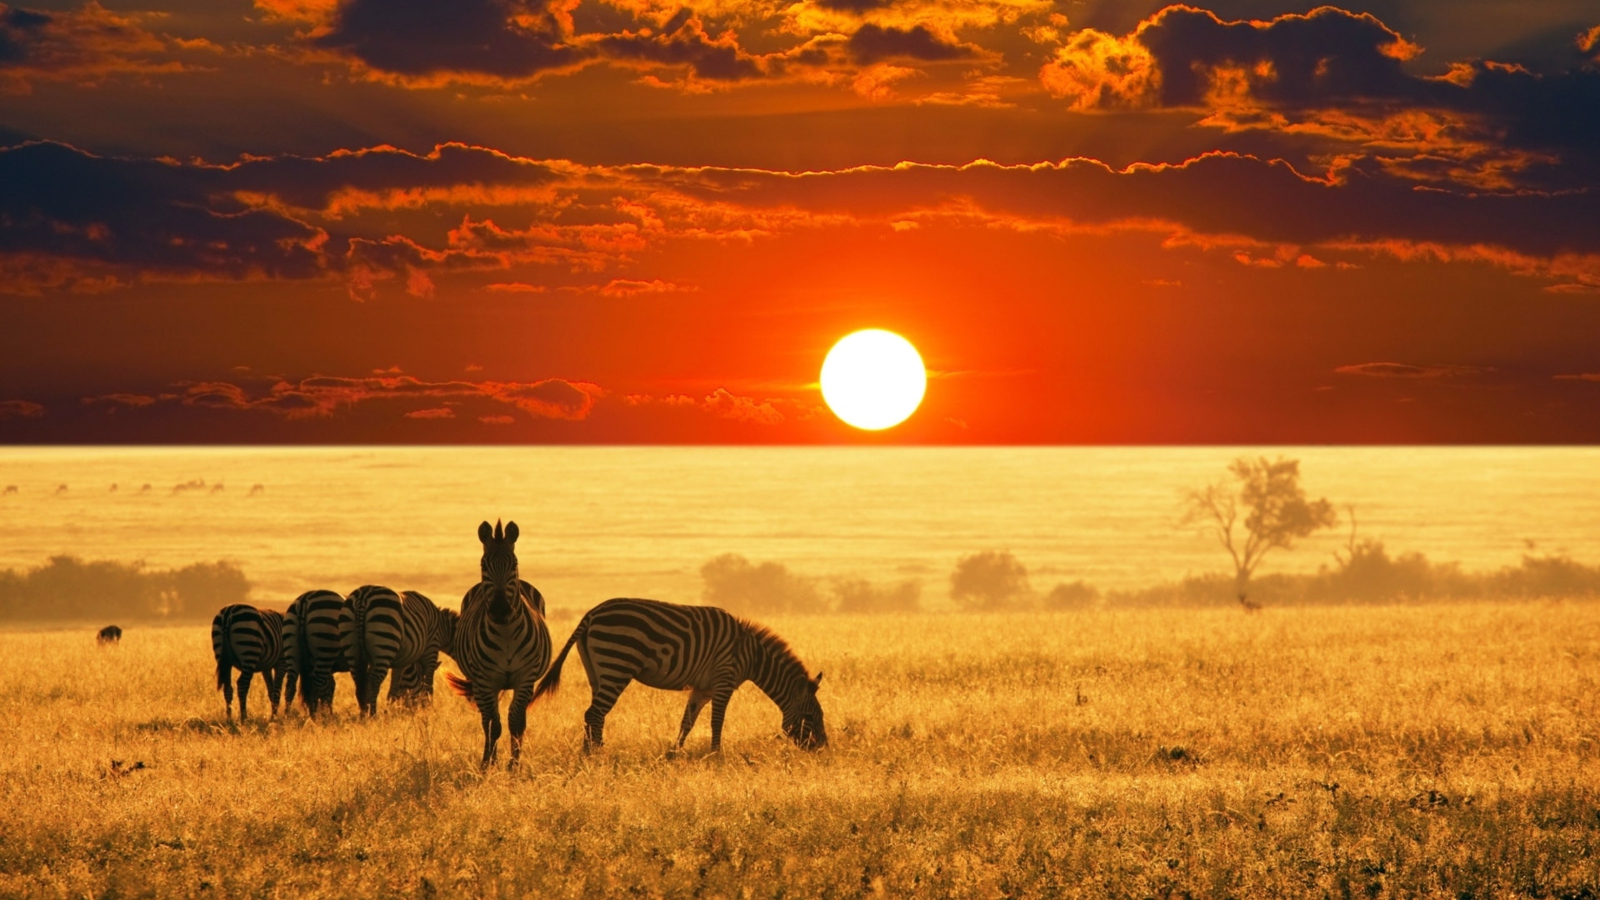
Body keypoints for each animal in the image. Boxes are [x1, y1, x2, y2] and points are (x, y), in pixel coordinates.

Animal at [448, 522, 553, 768]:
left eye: (514, 564)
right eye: (483, 564)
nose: (500, 610)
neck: (506, 633)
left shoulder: (525, 678)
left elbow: (516, 722)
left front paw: (514, 765)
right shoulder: (486, 680)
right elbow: (494, 725)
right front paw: (490, 763)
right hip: (481, 684)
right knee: (486, 720)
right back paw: (487, 757)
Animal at [534, 595, 832, 749]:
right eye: (810, 717)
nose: (822, 749)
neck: (751, 655)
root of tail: (592, 614)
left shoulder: (703, 688)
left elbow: (686, 722)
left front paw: (673, 754)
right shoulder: (724, 680)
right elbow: (717, 722)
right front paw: (716, 757)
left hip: (597, 672)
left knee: (595, 715)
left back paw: (592, 754)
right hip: (617, 664)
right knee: (594, 713)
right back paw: (595, 757)